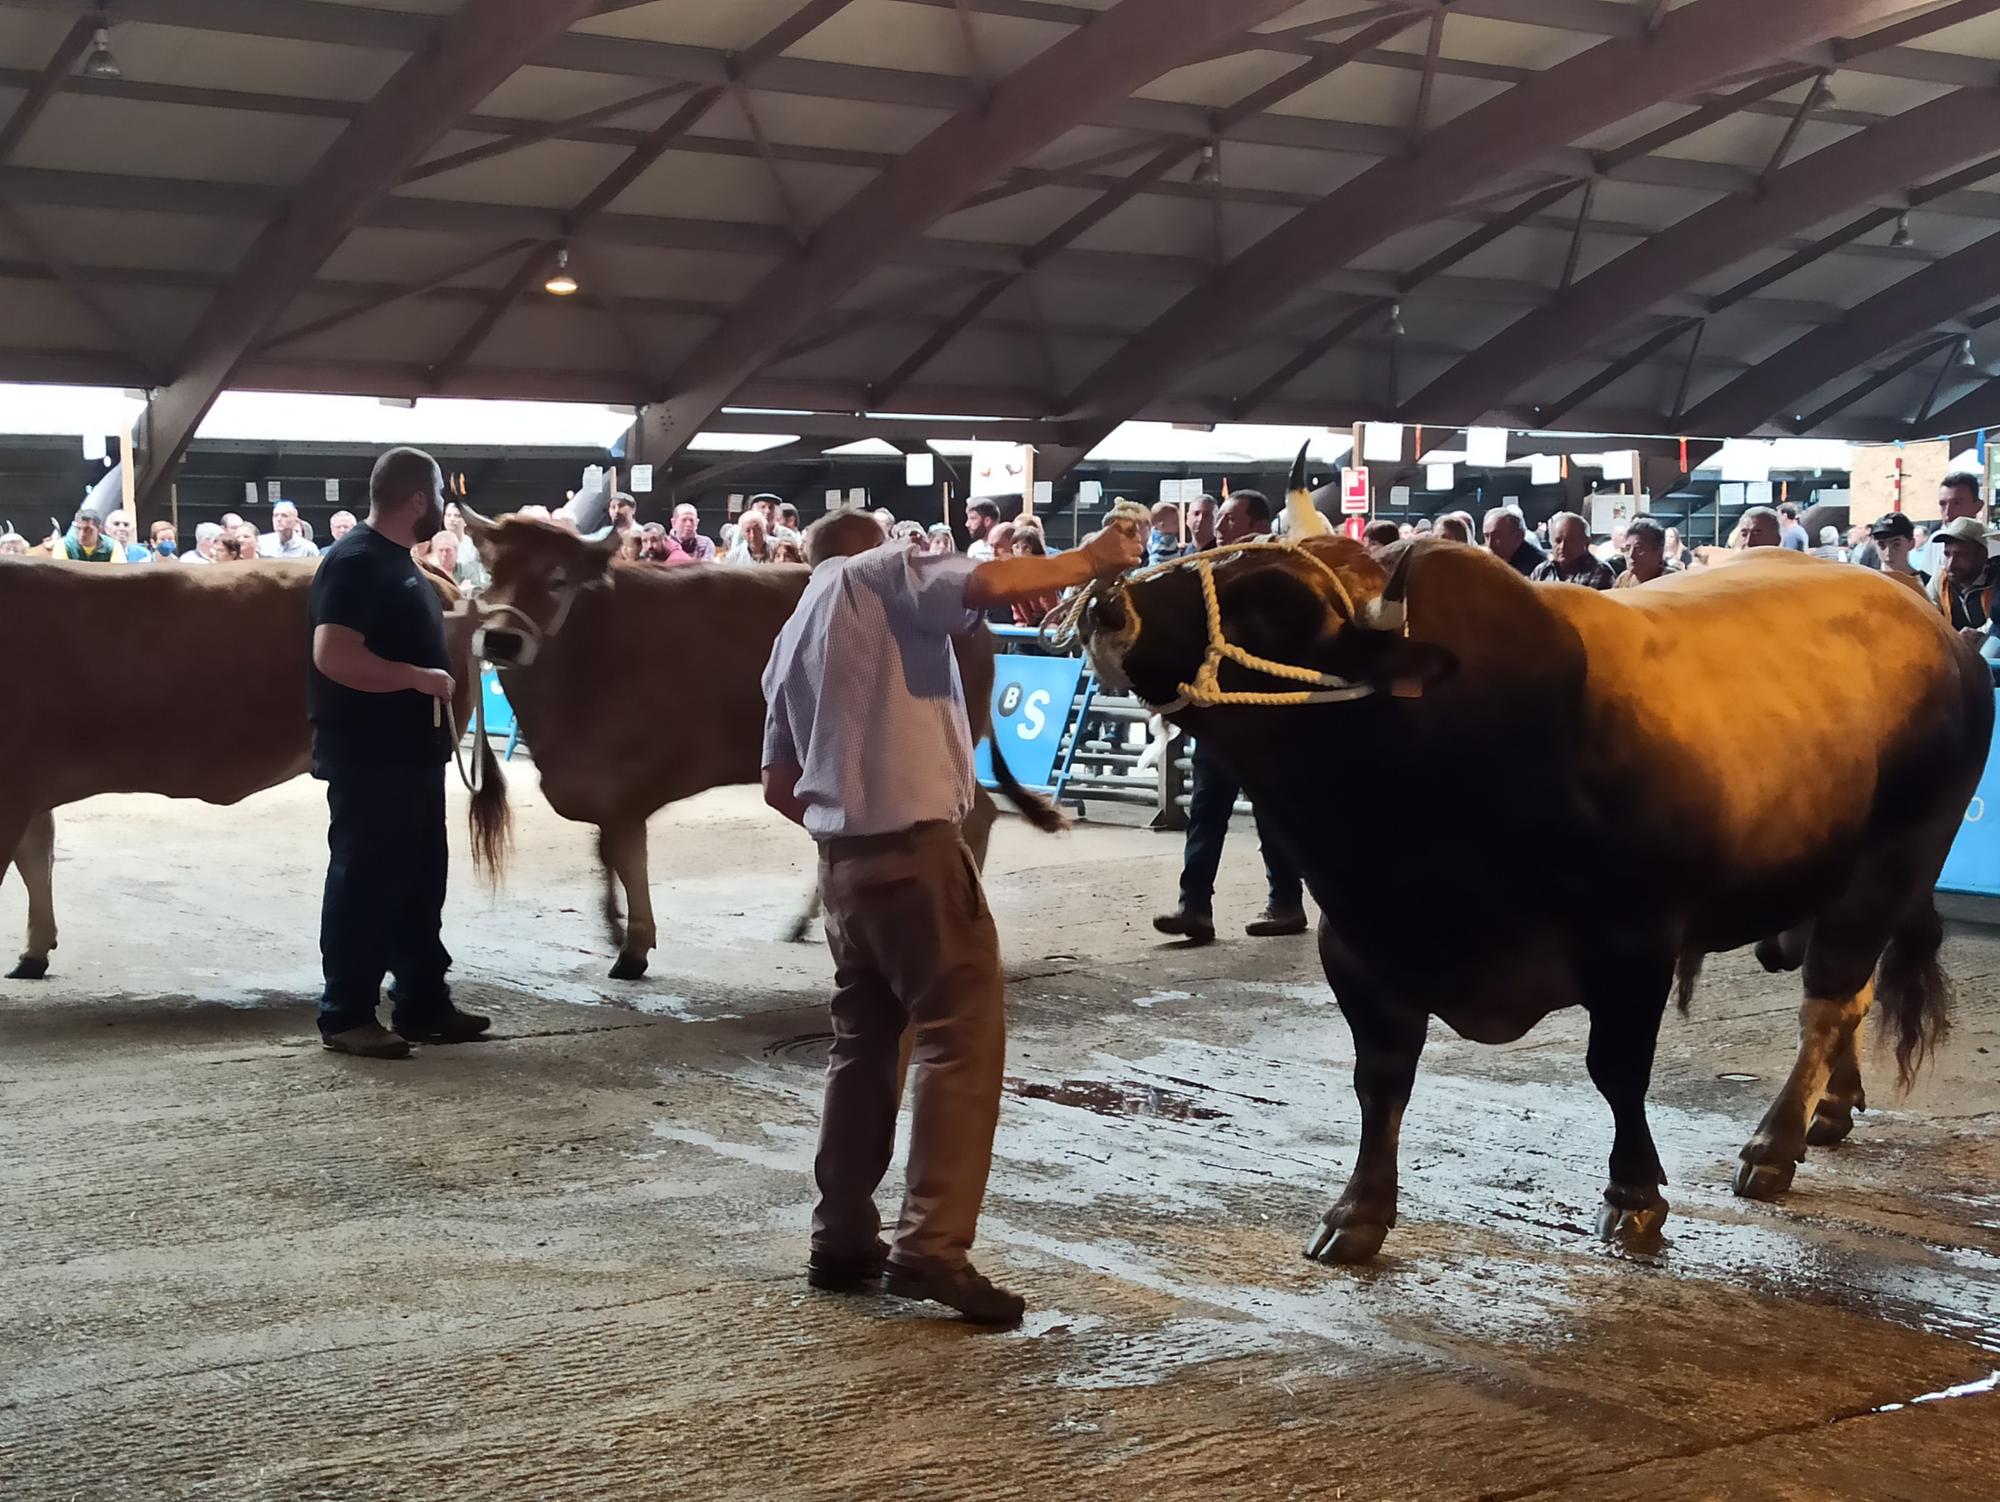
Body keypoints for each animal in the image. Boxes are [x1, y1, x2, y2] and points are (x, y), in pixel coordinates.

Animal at [464, 516, 1064, 988]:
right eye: (491, 573)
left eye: (557, 579)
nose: (500, 640)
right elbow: (606, 855)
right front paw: (613, 925)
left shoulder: (630, 782)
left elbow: (625, 855)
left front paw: (632, 946)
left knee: (975, 814)